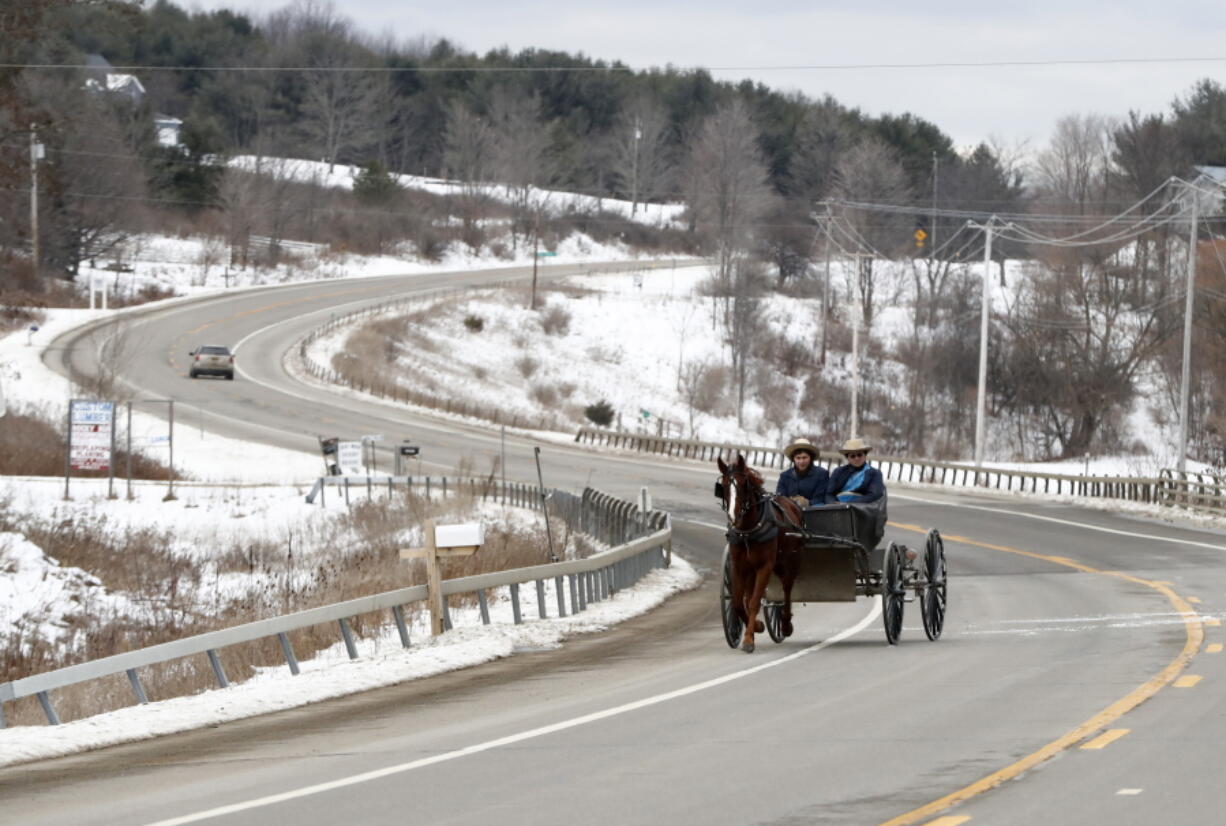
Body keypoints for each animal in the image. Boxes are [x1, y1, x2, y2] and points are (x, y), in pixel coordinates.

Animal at [715, 450, 804, 651]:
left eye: (743, 485)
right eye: (723, 486)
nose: (733, 517)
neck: (749, 530)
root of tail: (793, 504)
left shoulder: (765, 566)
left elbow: (755, 601)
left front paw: (748, 639)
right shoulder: (738, 565)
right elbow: (739, 602)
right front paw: (756, 626)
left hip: (789, 562)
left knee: (787, 589)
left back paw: (785, 624)